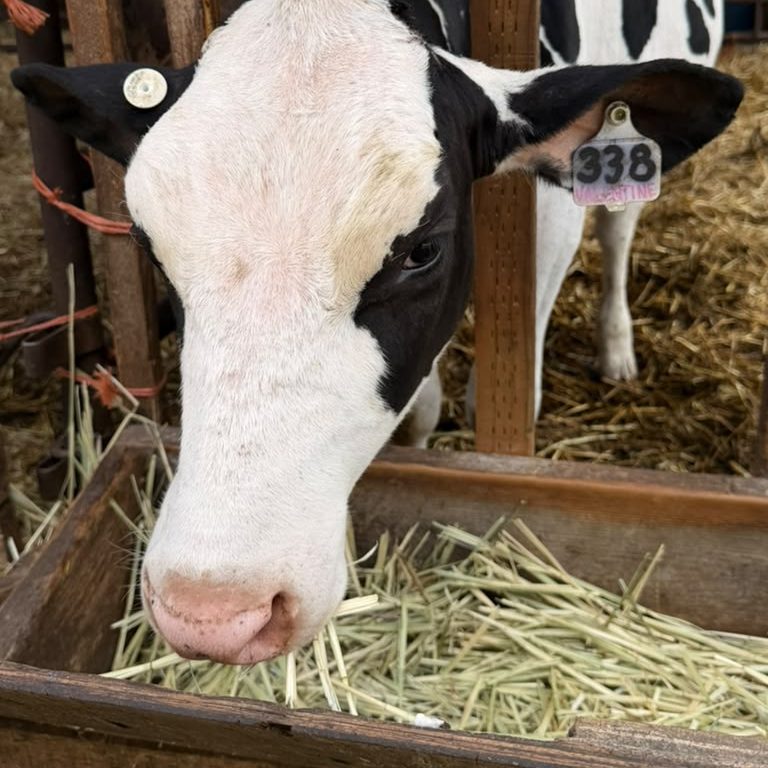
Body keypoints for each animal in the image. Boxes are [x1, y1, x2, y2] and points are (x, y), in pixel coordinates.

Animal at [12, 0, 741, 665]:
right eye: (150, 247)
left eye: (423, 251)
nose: (212, 612)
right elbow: (419, 410)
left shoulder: (548, 223)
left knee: (618, 229)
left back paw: (616, 350)